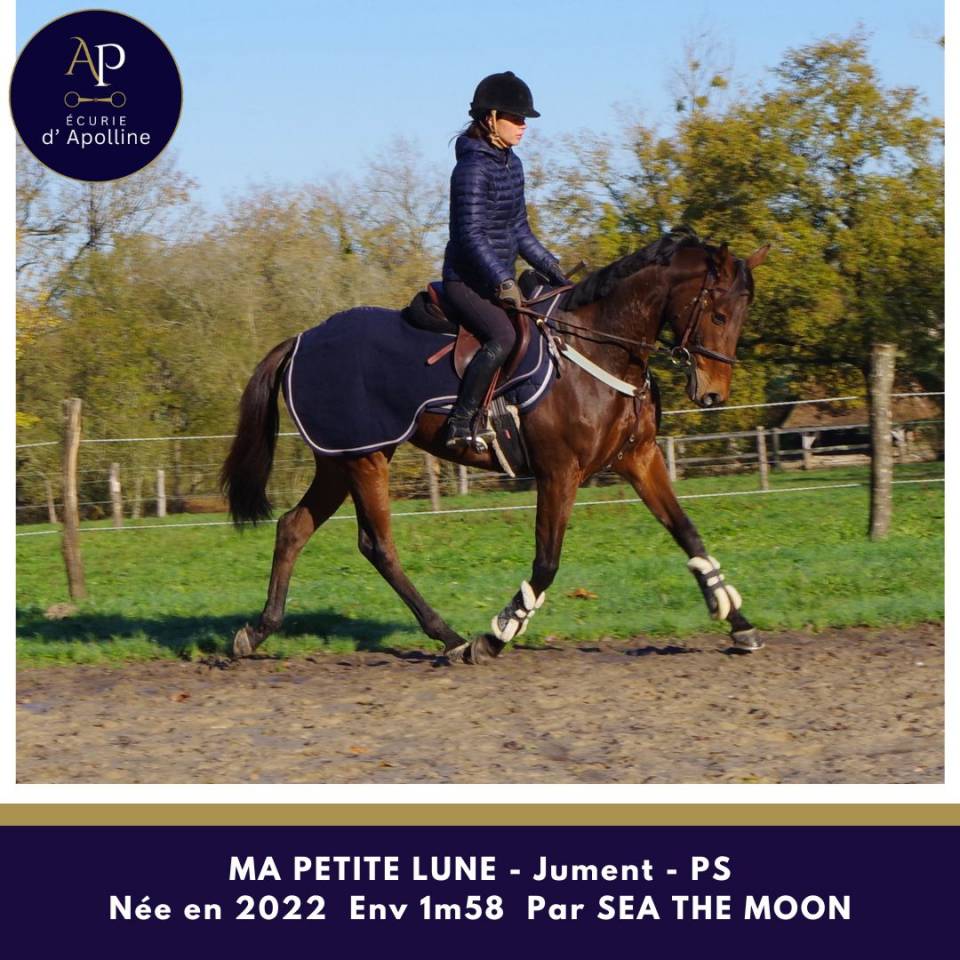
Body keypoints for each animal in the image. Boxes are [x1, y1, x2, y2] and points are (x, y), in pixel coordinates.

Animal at [220, 230, 770, 664]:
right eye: (719, 314)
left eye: (743, 313)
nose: (713, 394)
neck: (598, 350)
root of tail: (301, 339)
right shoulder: (559, 473)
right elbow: (546, 562)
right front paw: (496, 635)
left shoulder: (640, 459)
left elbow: (688, 534)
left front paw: (736, 619)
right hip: (365, 458)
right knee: (378, 546)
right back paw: (449, 637)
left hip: (340, 461)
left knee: (294, 528)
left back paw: (257, 631)